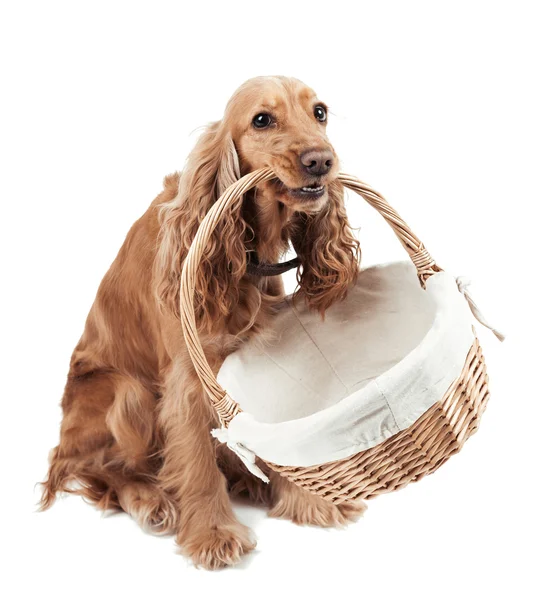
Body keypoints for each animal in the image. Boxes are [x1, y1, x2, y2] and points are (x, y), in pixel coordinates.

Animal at [40, 75, 366, 568]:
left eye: (320, 112)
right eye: (262, 119)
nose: (321, 161)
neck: (247, 251)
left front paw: (308, 500)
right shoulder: (188, 377)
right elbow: (195, 460)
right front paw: (213, 533)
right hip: (126, 392)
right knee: (102, 471)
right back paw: (150, 498)